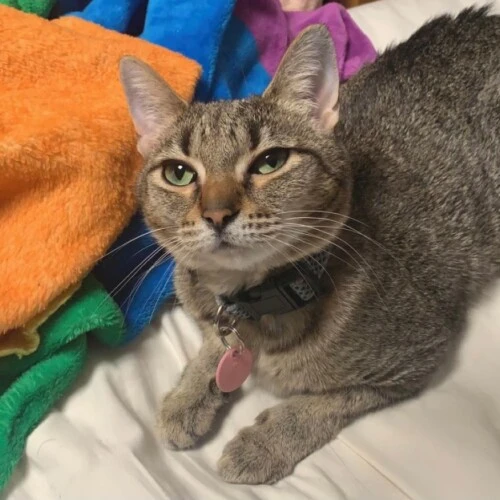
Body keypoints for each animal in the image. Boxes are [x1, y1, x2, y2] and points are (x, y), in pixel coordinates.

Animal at [120, 6, 500, 484]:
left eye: (270, 161)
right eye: (178, 173)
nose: (217, 214)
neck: (254, 303)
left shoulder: (417, 357)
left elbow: (326, 402)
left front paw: (263, 443)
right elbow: (215, 347)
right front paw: (188, 396)